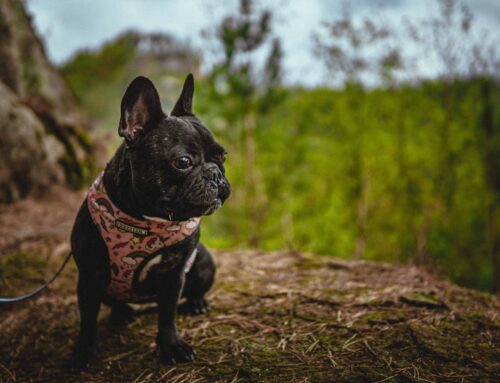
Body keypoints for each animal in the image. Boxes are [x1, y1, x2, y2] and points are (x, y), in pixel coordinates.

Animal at [68, 74, 230, 372]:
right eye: (182, 162)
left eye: (223, 157)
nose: (215, 174)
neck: (147, 220)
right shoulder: (89, 276)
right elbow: (87, 321)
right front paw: (83, 353)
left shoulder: (174, 275)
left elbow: (167, 316)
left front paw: (172, 346)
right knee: (114, 303)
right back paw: (123, 313)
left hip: (204, 261)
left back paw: (197, 303)